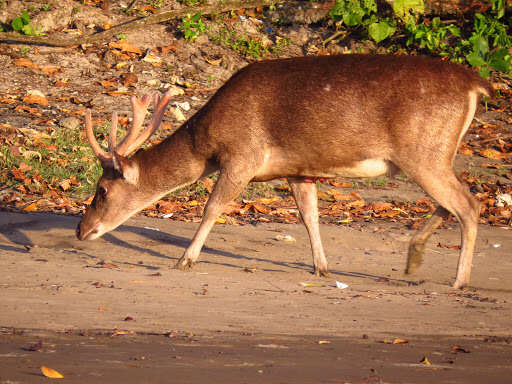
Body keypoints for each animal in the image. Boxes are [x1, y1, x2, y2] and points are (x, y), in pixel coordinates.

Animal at [77, 54, 492, 288]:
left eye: (102, 190)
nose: (82, 230)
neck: (206, 146)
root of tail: (477, 84)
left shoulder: (243, 156)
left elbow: (212, 208)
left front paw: (185, 260)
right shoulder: (298, 169)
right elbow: (310, 217)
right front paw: (322, 268)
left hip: (424, 151)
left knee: (468, 204)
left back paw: (458, 281)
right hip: (432, 154)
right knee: (453, 204)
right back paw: (414, 257)